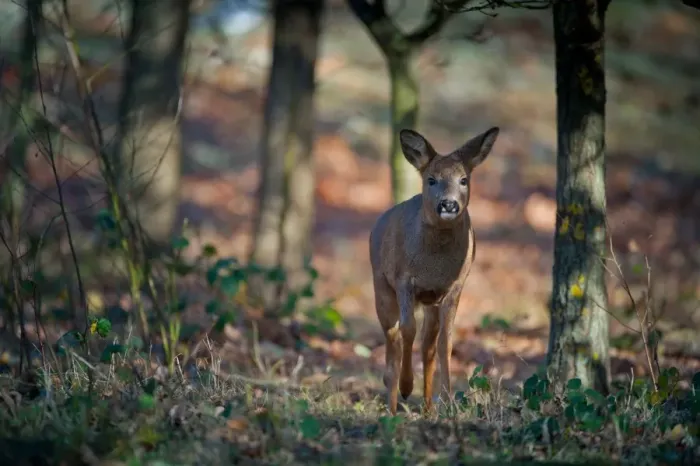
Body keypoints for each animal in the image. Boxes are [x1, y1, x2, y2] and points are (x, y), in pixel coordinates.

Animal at [368, 126, 499, 415]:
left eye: (464, 180)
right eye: (431, 179)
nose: (449, 204)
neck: (434, 264)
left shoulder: (454, 285)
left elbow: (444, 342)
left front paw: (448, 400)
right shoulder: (404, 278)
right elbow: (408, 329)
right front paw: (407, 386)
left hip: (429, 301)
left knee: (427, 343)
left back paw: (428, 407)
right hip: (381, 286)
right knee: (392, 338)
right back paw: (392, 400)